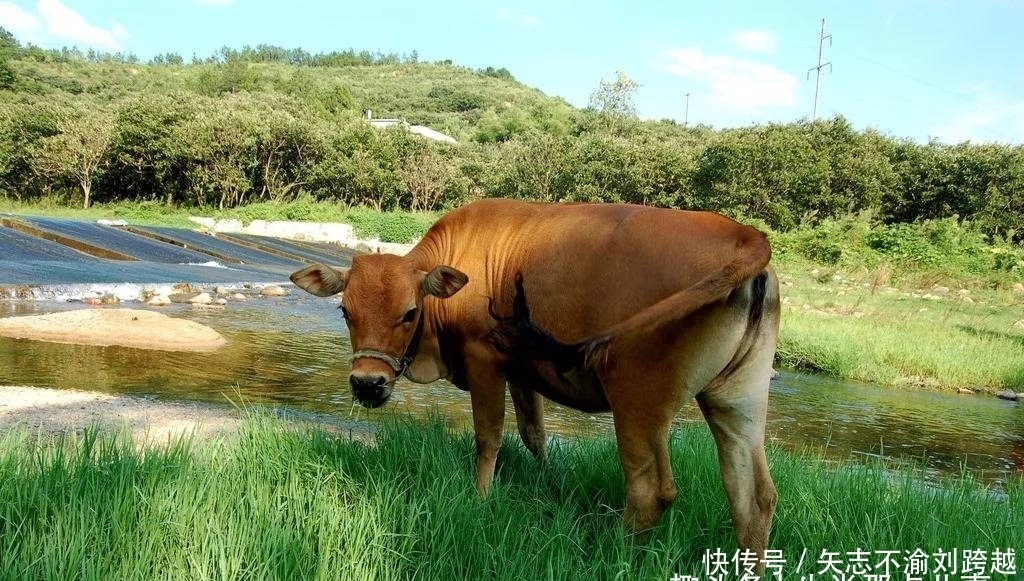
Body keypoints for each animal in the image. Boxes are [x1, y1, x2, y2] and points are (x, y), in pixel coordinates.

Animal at [292, 200, 778, 565]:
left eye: (409, 313)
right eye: (345, 311)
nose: (366, 383)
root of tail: (744, 234)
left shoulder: (484, 360)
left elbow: (489, 437)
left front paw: (481, 499)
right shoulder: (520, 371)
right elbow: (534, 434)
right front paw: (548, 484)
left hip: (637, 398)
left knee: (651, 493)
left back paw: (612, 555)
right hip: (737, 403)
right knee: (754, 497)